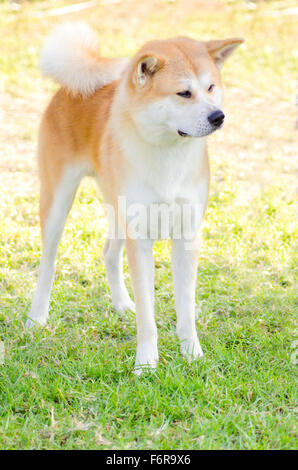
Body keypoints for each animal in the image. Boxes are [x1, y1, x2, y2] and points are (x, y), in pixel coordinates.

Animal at [26, 21, 243, 374]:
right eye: (184, 93)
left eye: (211, 87)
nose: (218, 116)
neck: (168, 155)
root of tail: (71, 87)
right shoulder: (139, 239)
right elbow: (148, 317)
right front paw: (146, 364)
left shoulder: (186, 237)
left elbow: (186, 309)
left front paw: (192, 355)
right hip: (58, 201)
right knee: (48, 262)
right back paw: (37, 316)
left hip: (117, 209)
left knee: (108, 253)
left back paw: (121, 304)